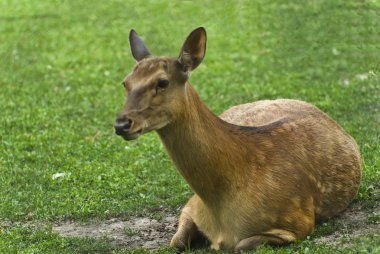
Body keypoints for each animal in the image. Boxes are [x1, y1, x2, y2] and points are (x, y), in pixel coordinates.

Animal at [113, 26, 362, 251]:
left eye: (162, 82)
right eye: (125, 82)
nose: (121, 124)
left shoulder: (299, 222)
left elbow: (242, 244)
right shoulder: (191, 205)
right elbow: (176, 242)